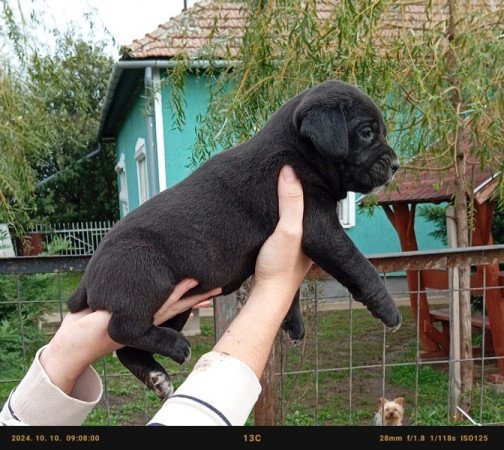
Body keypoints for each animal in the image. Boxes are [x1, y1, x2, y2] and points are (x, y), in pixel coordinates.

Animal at [70, 79, 402, 400]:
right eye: (367, 133)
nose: (396, 165)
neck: (297, 152)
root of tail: (87, 277)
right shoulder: (321, 229)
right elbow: (360, 266)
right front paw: (389, 310)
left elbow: (291, 292)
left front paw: (293, 324)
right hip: (149, 277)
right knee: (121, 328)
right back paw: (176, 346)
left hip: (177, 305)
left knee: (124, 348)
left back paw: (157, 377)